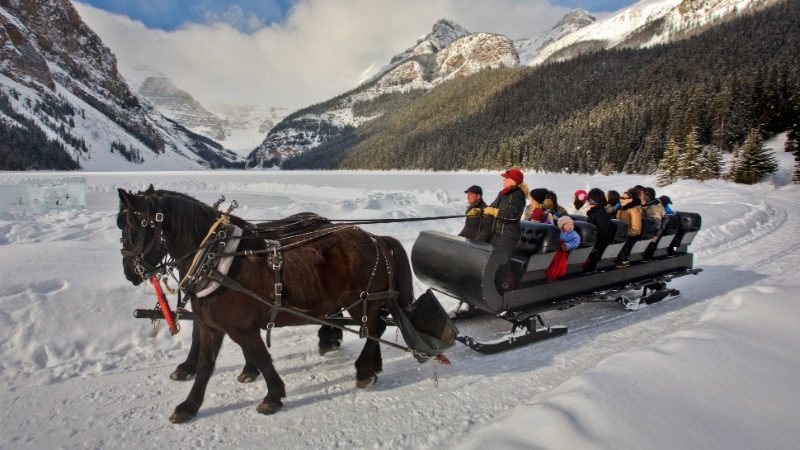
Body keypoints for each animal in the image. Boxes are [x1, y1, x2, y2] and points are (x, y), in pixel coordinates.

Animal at [119, 185, 418, 422]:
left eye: (133, 227)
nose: (130, 272)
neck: (214, 257)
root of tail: (376, 238)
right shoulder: (212, 325)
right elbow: (206, 364)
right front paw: (189, 405)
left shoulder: (241, 326)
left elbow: (262, 356)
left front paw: (272, 395)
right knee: (373, 329)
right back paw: (361, 359)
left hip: (362, 303)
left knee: (375, 329)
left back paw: (363, 368)